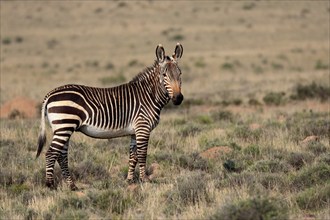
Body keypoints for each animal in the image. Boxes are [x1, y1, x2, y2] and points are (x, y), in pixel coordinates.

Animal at [37, 43, 184, 191]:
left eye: (180, 74)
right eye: (164, 75)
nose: (178, 98)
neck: (149, 95)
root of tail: (50, 94)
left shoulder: (135, 131)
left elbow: (133, 156)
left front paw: (130, 180)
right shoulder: (143, 127)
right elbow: (142, 155)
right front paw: (145, 181)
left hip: (63, 128)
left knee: (61, 156)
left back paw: (72, 186)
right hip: (64, 126)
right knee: (51, 154)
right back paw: (50, 185)